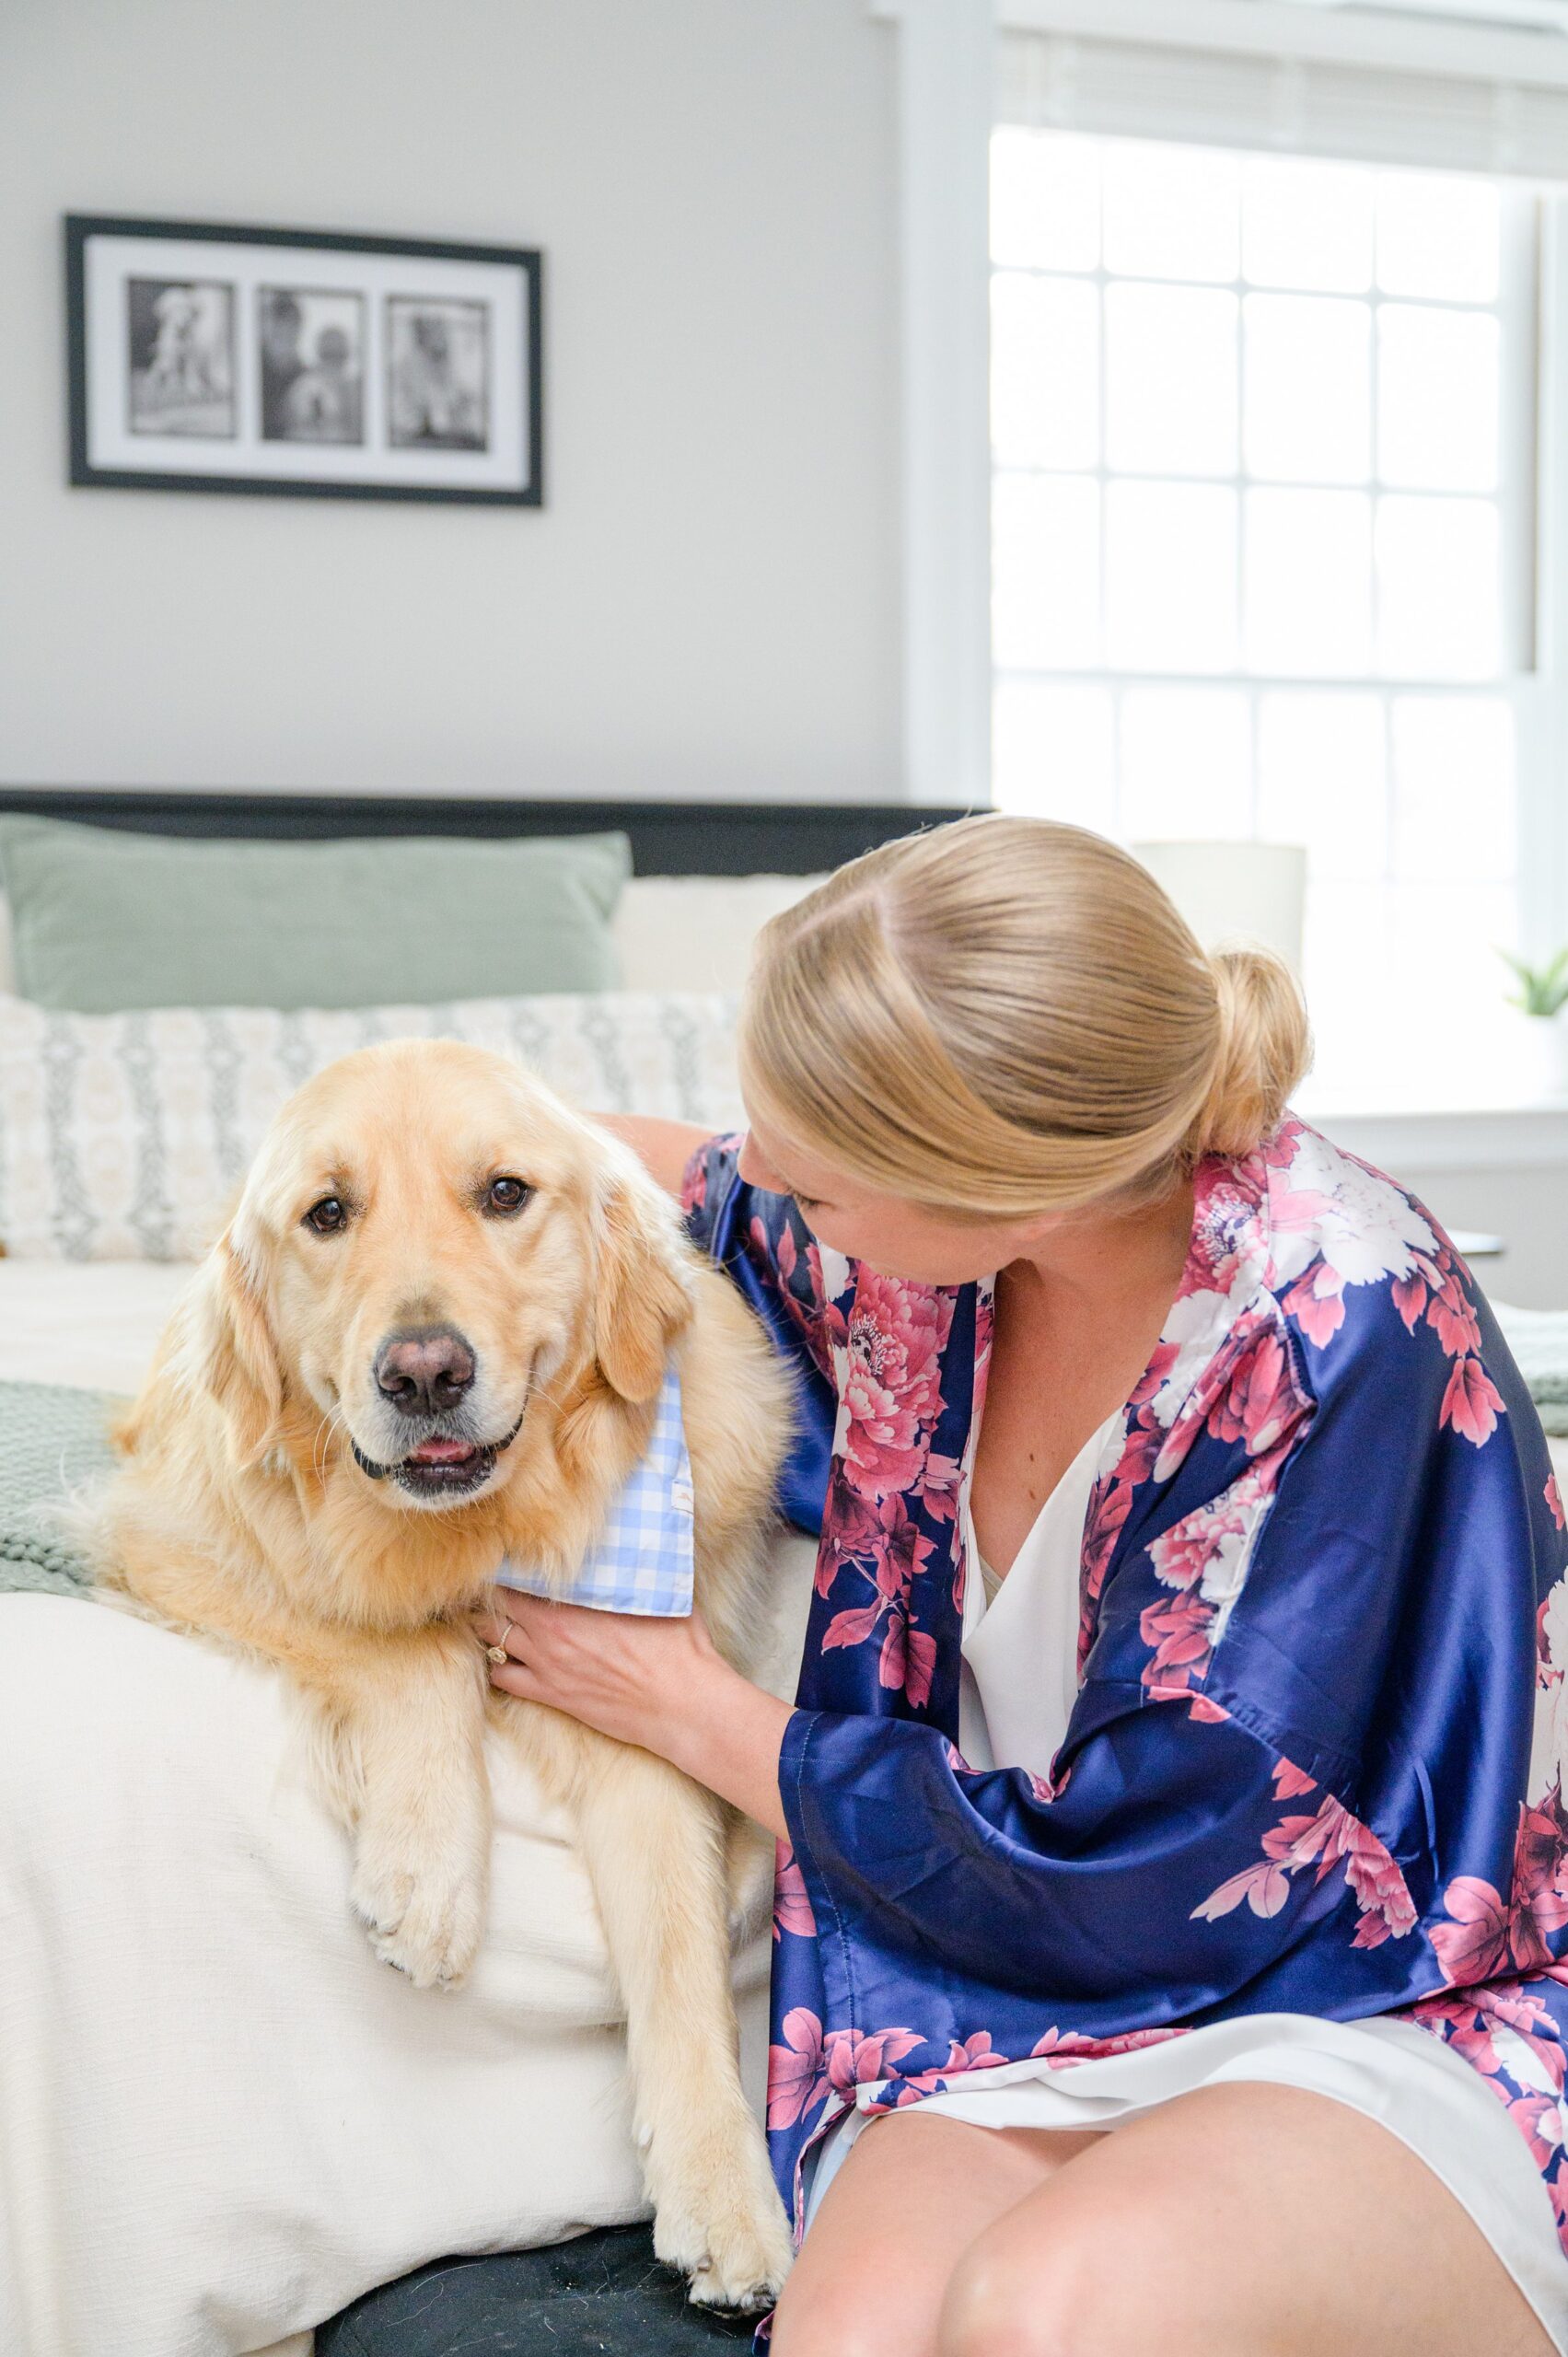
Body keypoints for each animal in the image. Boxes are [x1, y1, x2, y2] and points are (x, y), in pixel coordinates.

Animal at [95, 1041, 796, 2309]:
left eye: (505, 1193)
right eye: (327, 1213)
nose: (423, 1372)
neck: (484, 1533)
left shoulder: (644, 1705)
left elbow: (680, 1961)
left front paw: (725, 2196)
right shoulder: (168, 1536)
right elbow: (407, 1642)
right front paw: (428, 1879)